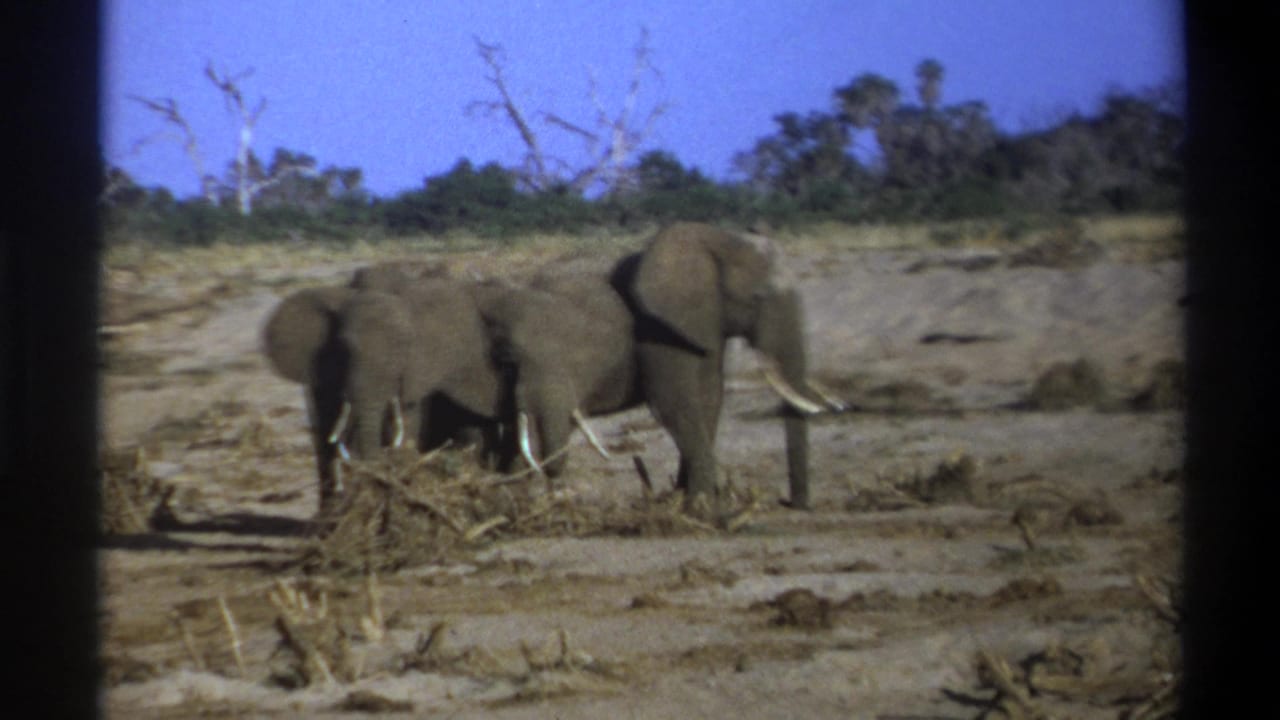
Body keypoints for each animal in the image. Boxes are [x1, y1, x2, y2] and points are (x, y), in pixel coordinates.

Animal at [615, 222, 841, 511]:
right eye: (757, 297)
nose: (791, 504)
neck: (716, 238)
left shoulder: (706, 321)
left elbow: (709, 394)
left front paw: (689, 500)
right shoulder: (656, 329)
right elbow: (671, 400)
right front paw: (699, 506)